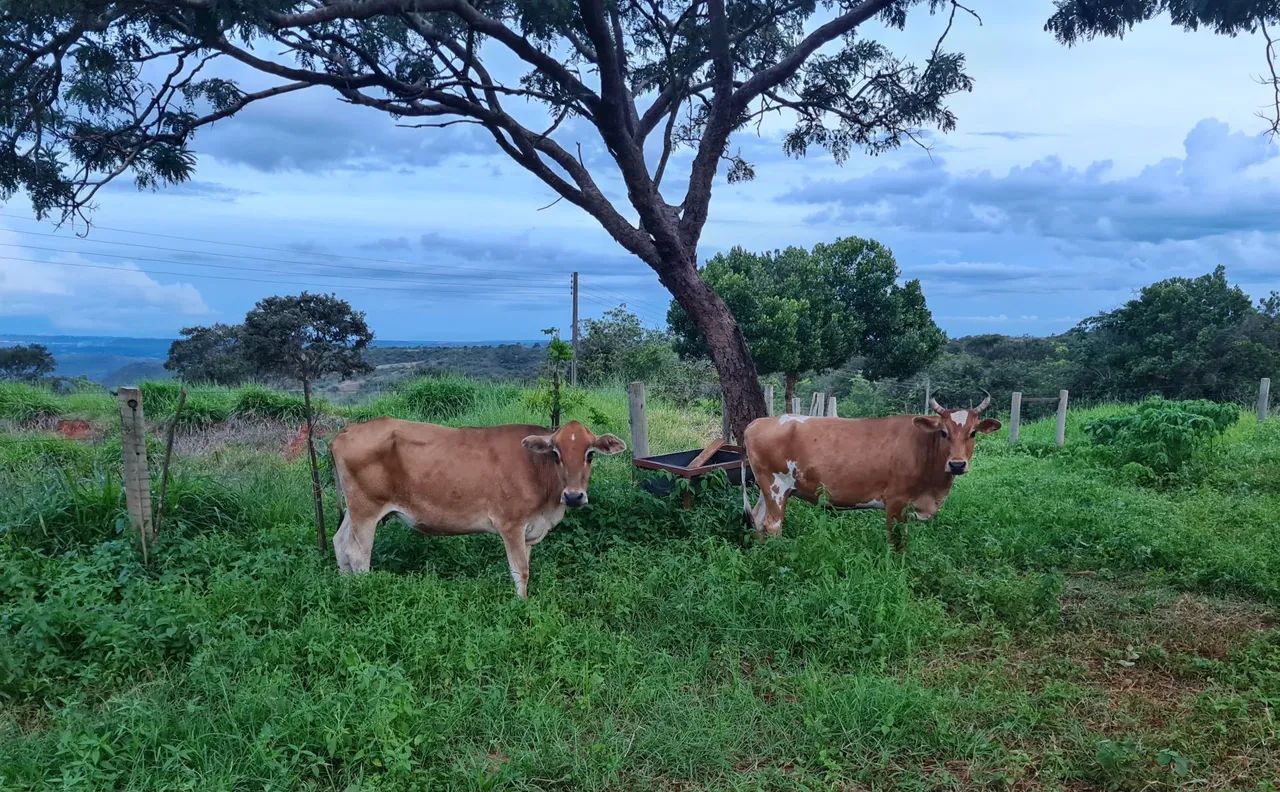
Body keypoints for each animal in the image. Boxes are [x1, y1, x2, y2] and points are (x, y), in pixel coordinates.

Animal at [329, 417, 626, 597]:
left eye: (590, 454)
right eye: (556, 453)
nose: (574, 496)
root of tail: (345, 431)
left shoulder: (529, 530)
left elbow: (526, 566)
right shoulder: (510, 524)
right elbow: (521, 571)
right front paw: (522, 605)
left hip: (354, 511)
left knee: (340, 543)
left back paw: (345, 589)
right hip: (366, 510)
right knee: (358, 555)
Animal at [740, 394, 1000, 551]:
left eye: (973, 433)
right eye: (944, 432)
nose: (957, 464)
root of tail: (759, 422)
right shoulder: (895, 501)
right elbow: (896, 538)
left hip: (768, 489)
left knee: (759, 519)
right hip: (776, 487)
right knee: (773, 524)